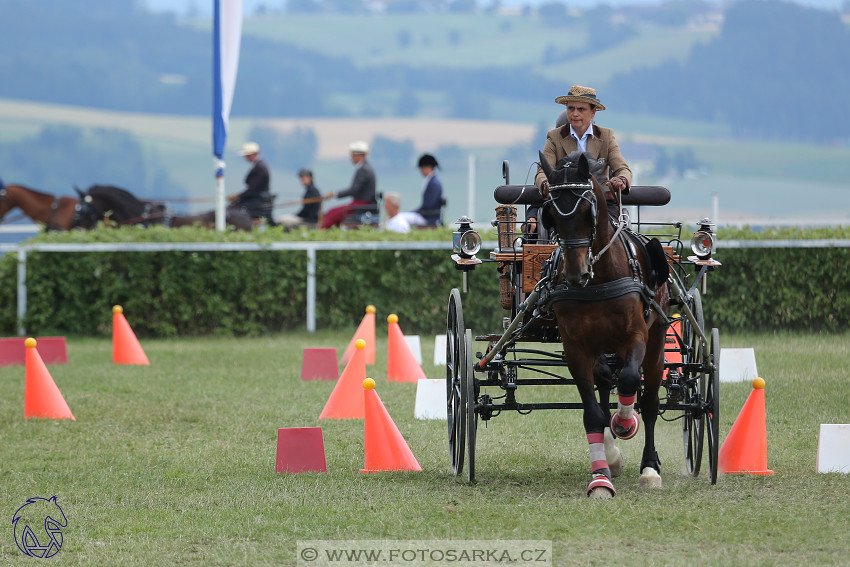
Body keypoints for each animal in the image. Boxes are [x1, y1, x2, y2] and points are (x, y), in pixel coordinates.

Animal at [536, 150, 668, 496]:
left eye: (587, 210)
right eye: (551, 214)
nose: (575, 274)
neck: (599, 279)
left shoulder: (636, 336)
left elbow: (631, 382)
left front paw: (625, 424)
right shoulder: (576, 349)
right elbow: (593, 414)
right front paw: (600, 477)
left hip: (656, 337)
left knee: (649, 400)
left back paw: (649, 467)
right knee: (606, 383)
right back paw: (612, 454)